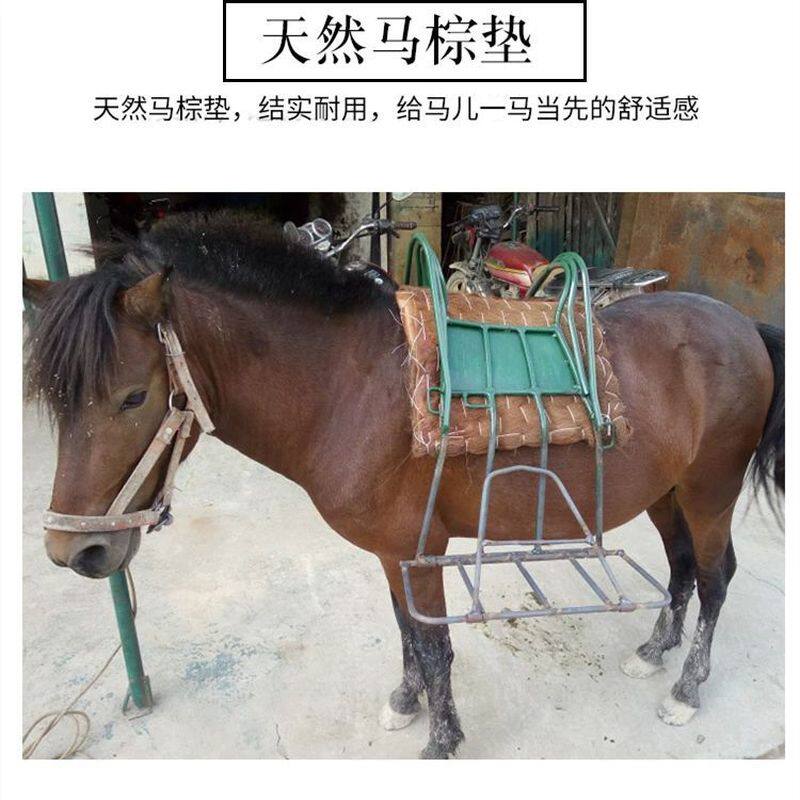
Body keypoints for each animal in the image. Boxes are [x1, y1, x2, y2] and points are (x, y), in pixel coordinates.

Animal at [24, 211, 784, 758]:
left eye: (132, 396)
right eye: (57, 400)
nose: (75, 553)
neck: (348, 386)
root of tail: (744, 325)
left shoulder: (421, 551)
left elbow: (435, 643)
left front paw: (443, 740)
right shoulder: (393, 551)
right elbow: (406, 632)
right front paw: (406, 701)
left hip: (710, 491)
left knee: (715, 577)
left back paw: (686, 688)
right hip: (666, 493)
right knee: (681, 567)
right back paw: (655, 650)